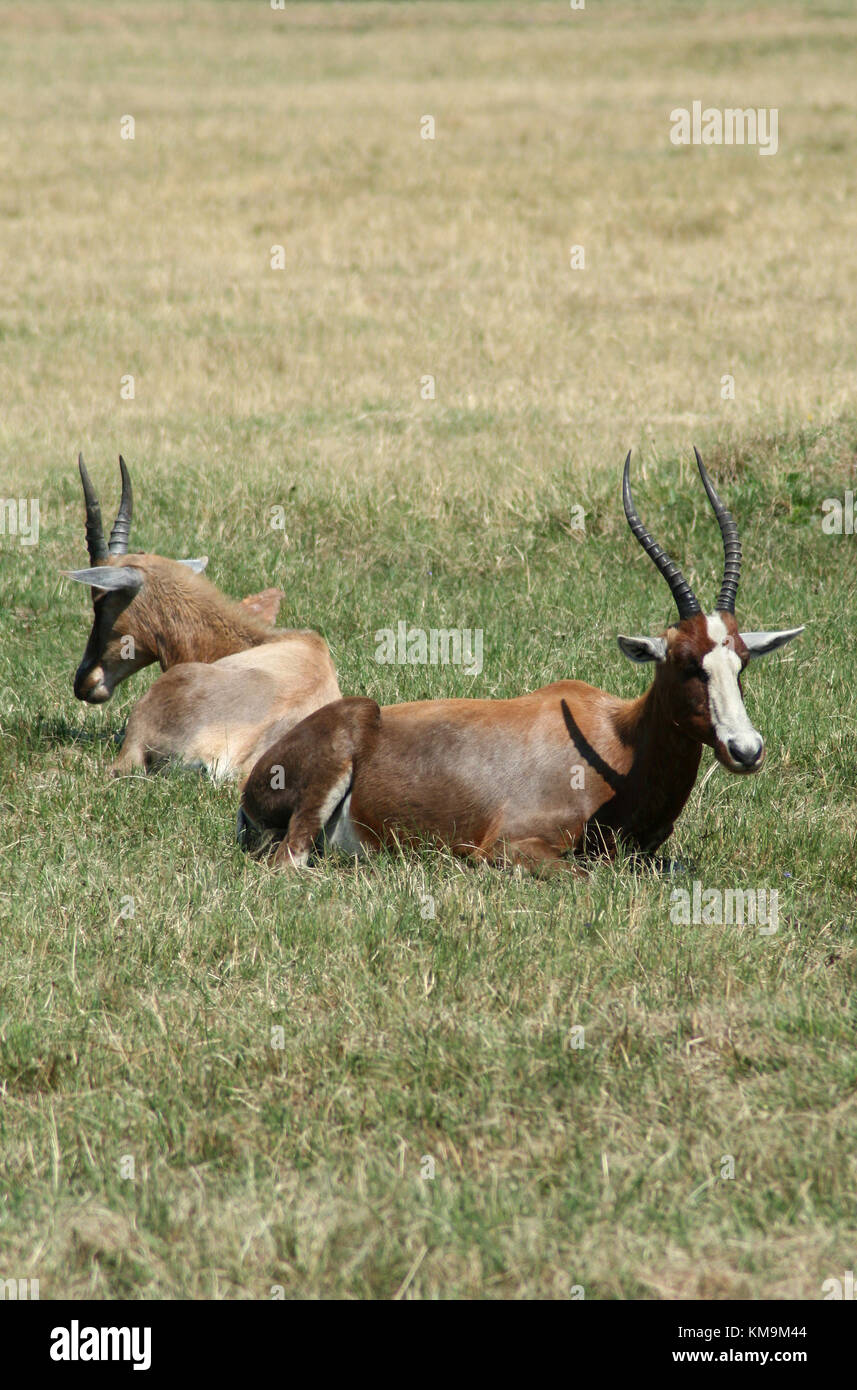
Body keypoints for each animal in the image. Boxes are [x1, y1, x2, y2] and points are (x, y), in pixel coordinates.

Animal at [238, 450, 800, 872]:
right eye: (686, 661)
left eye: (742, 663)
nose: (746, 749)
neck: (619, 741)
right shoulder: (511, 848)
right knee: (288, 864)